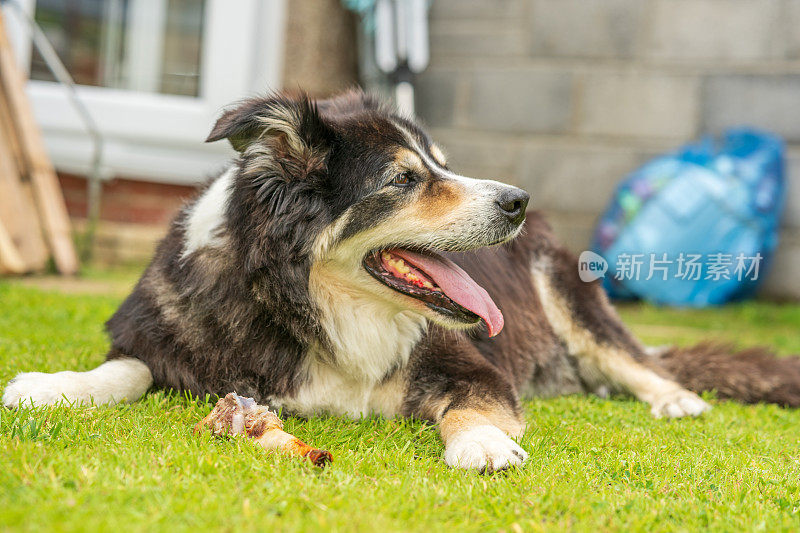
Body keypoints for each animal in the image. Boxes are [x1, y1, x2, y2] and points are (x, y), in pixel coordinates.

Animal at [3, 90, 796, 470]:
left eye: (442, 163)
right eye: (406, 180)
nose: (517, 200)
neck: (309, 303)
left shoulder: (472, 362)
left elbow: (471, 404)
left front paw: (481, 442)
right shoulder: (167, 322)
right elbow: (127, 366)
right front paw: (51, 384)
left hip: (569, 291)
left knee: (630, 357)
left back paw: (674, 397)